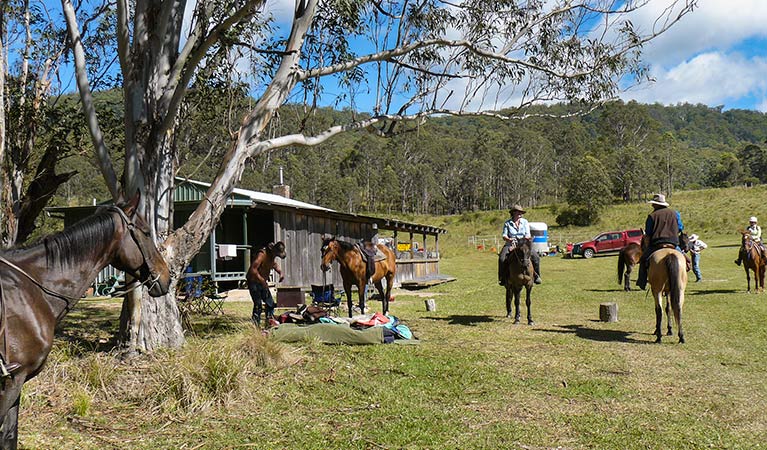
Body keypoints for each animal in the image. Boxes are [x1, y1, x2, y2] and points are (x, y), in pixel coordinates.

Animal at [0, 195, 170, 448]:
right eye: (147, 232)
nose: (167, 277)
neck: (31, 291)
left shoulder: (17, 382)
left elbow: (10, 436)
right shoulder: (11, 382)